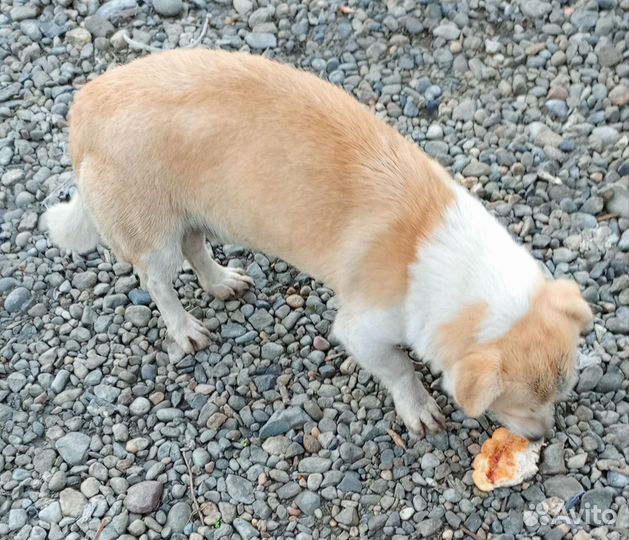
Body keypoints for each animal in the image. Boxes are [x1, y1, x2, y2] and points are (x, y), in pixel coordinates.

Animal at [43, 49, 588, 438]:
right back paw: (186, 330)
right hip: (154, 240)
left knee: (196, 249)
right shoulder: (361, 330)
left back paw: (221, 282)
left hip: (195, 214)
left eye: (561, 396)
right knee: (156, 282)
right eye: (518, 406)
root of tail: (83, 106)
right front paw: (419, 409)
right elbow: (399, 368)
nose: (544, 439)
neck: (443, 250)